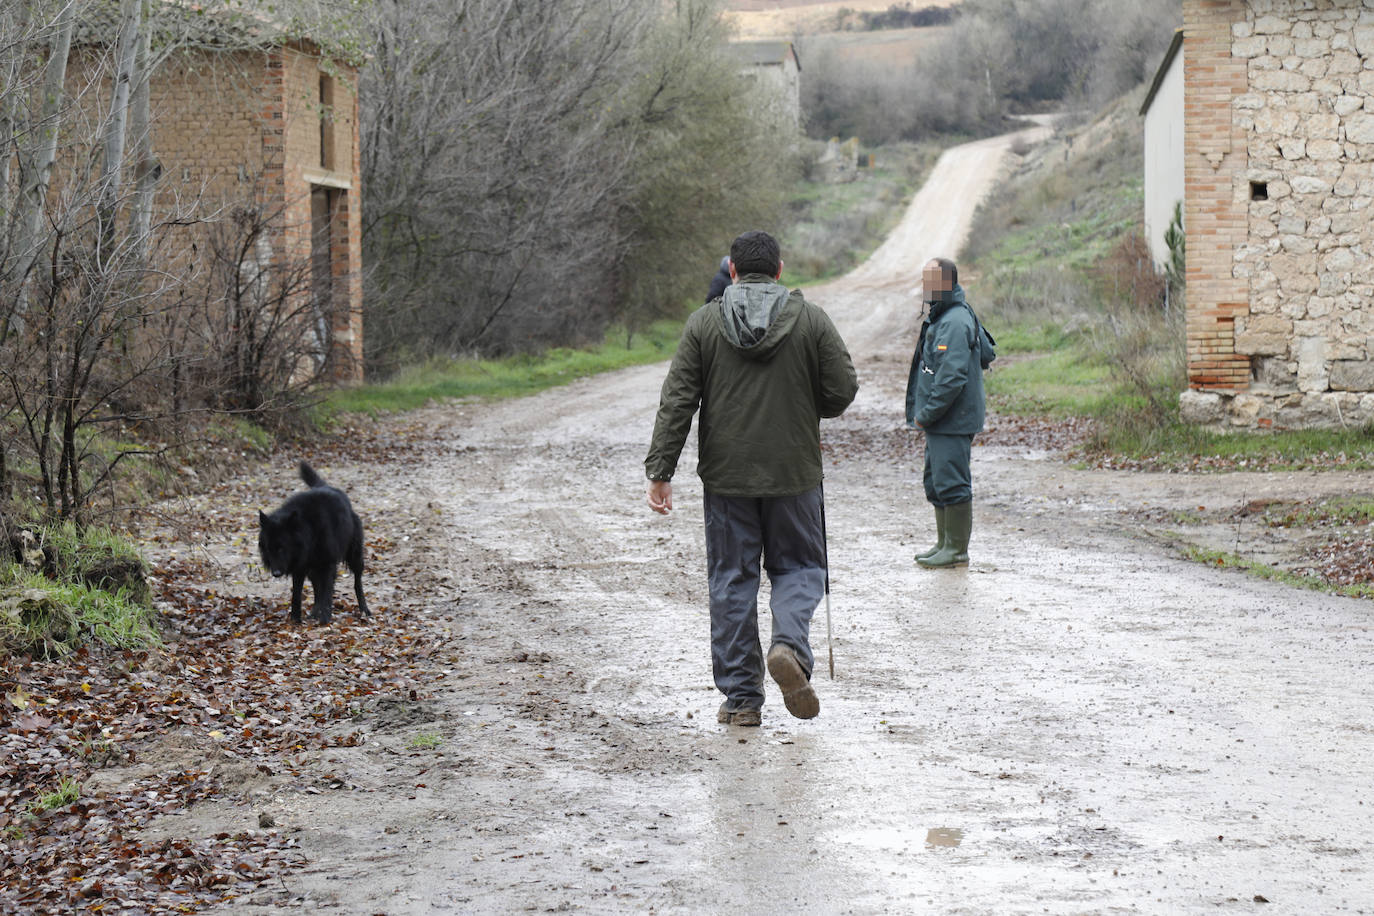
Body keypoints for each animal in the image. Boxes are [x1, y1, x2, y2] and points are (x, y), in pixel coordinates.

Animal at [258, 461, 370, 626]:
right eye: (269, 548)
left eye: (281, 548)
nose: (276, 573)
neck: (309, 530)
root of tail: (329, 487)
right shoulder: (300, 568)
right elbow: (297, 595)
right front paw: (295, 619)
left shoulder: (328, 565)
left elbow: (326, 593)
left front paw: (325, 618)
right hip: (313, 570)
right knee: (317, 589)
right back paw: (314, 613)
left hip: (354, 558)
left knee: (357, 583)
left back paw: (364, 610)